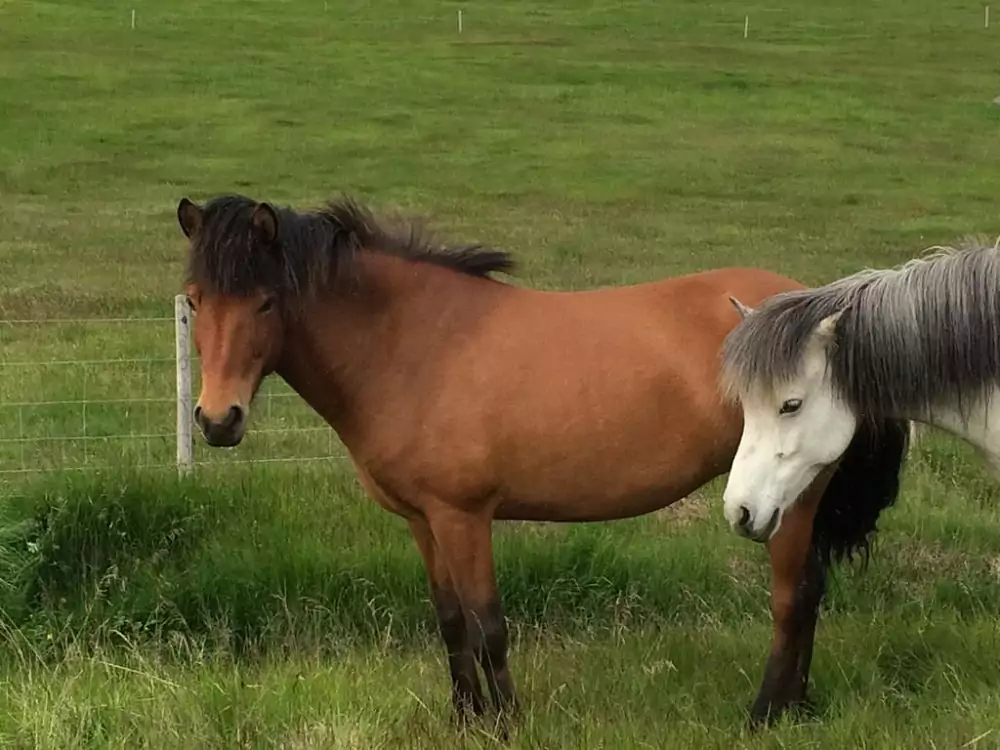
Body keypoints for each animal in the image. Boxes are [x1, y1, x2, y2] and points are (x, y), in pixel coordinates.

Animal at [174, 192, 909, 731]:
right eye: (196, 301)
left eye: (266, 300)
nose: (217, 420)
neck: (415, 343)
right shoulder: (423, 520)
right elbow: (450, 620)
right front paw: (464, 719)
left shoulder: (464, 516)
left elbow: (488, 624)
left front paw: (505, 724)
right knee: (810, 591)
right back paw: (799, 708)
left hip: (791, 496)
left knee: (793, 597)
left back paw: (766, 714)